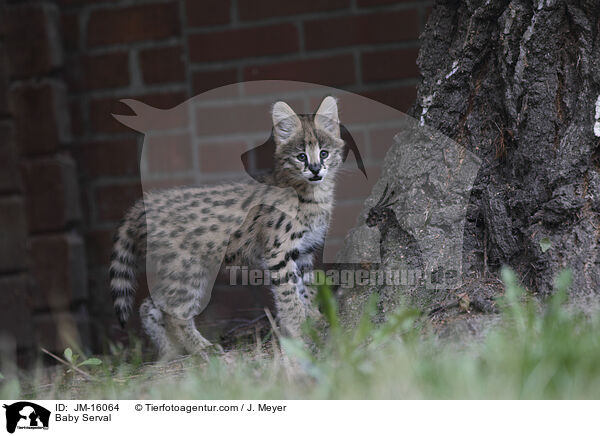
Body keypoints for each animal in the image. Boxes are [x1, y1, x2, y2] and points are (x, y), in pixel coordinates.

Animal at [110, 96, 344, 358]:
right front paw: (299, 329)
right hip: (187, 269)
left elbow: (307, 288)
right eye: (301, 156)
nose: (315, 169)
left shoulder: (304, 251)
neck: (312, 194)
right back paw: (201, 348)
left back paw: (170, 352)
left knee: (150, 305)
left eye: (324, 153)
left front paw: (314, 318)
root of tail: (144, 204)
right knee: (174, 313)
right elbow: (289, 295)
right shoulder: (278, 253)